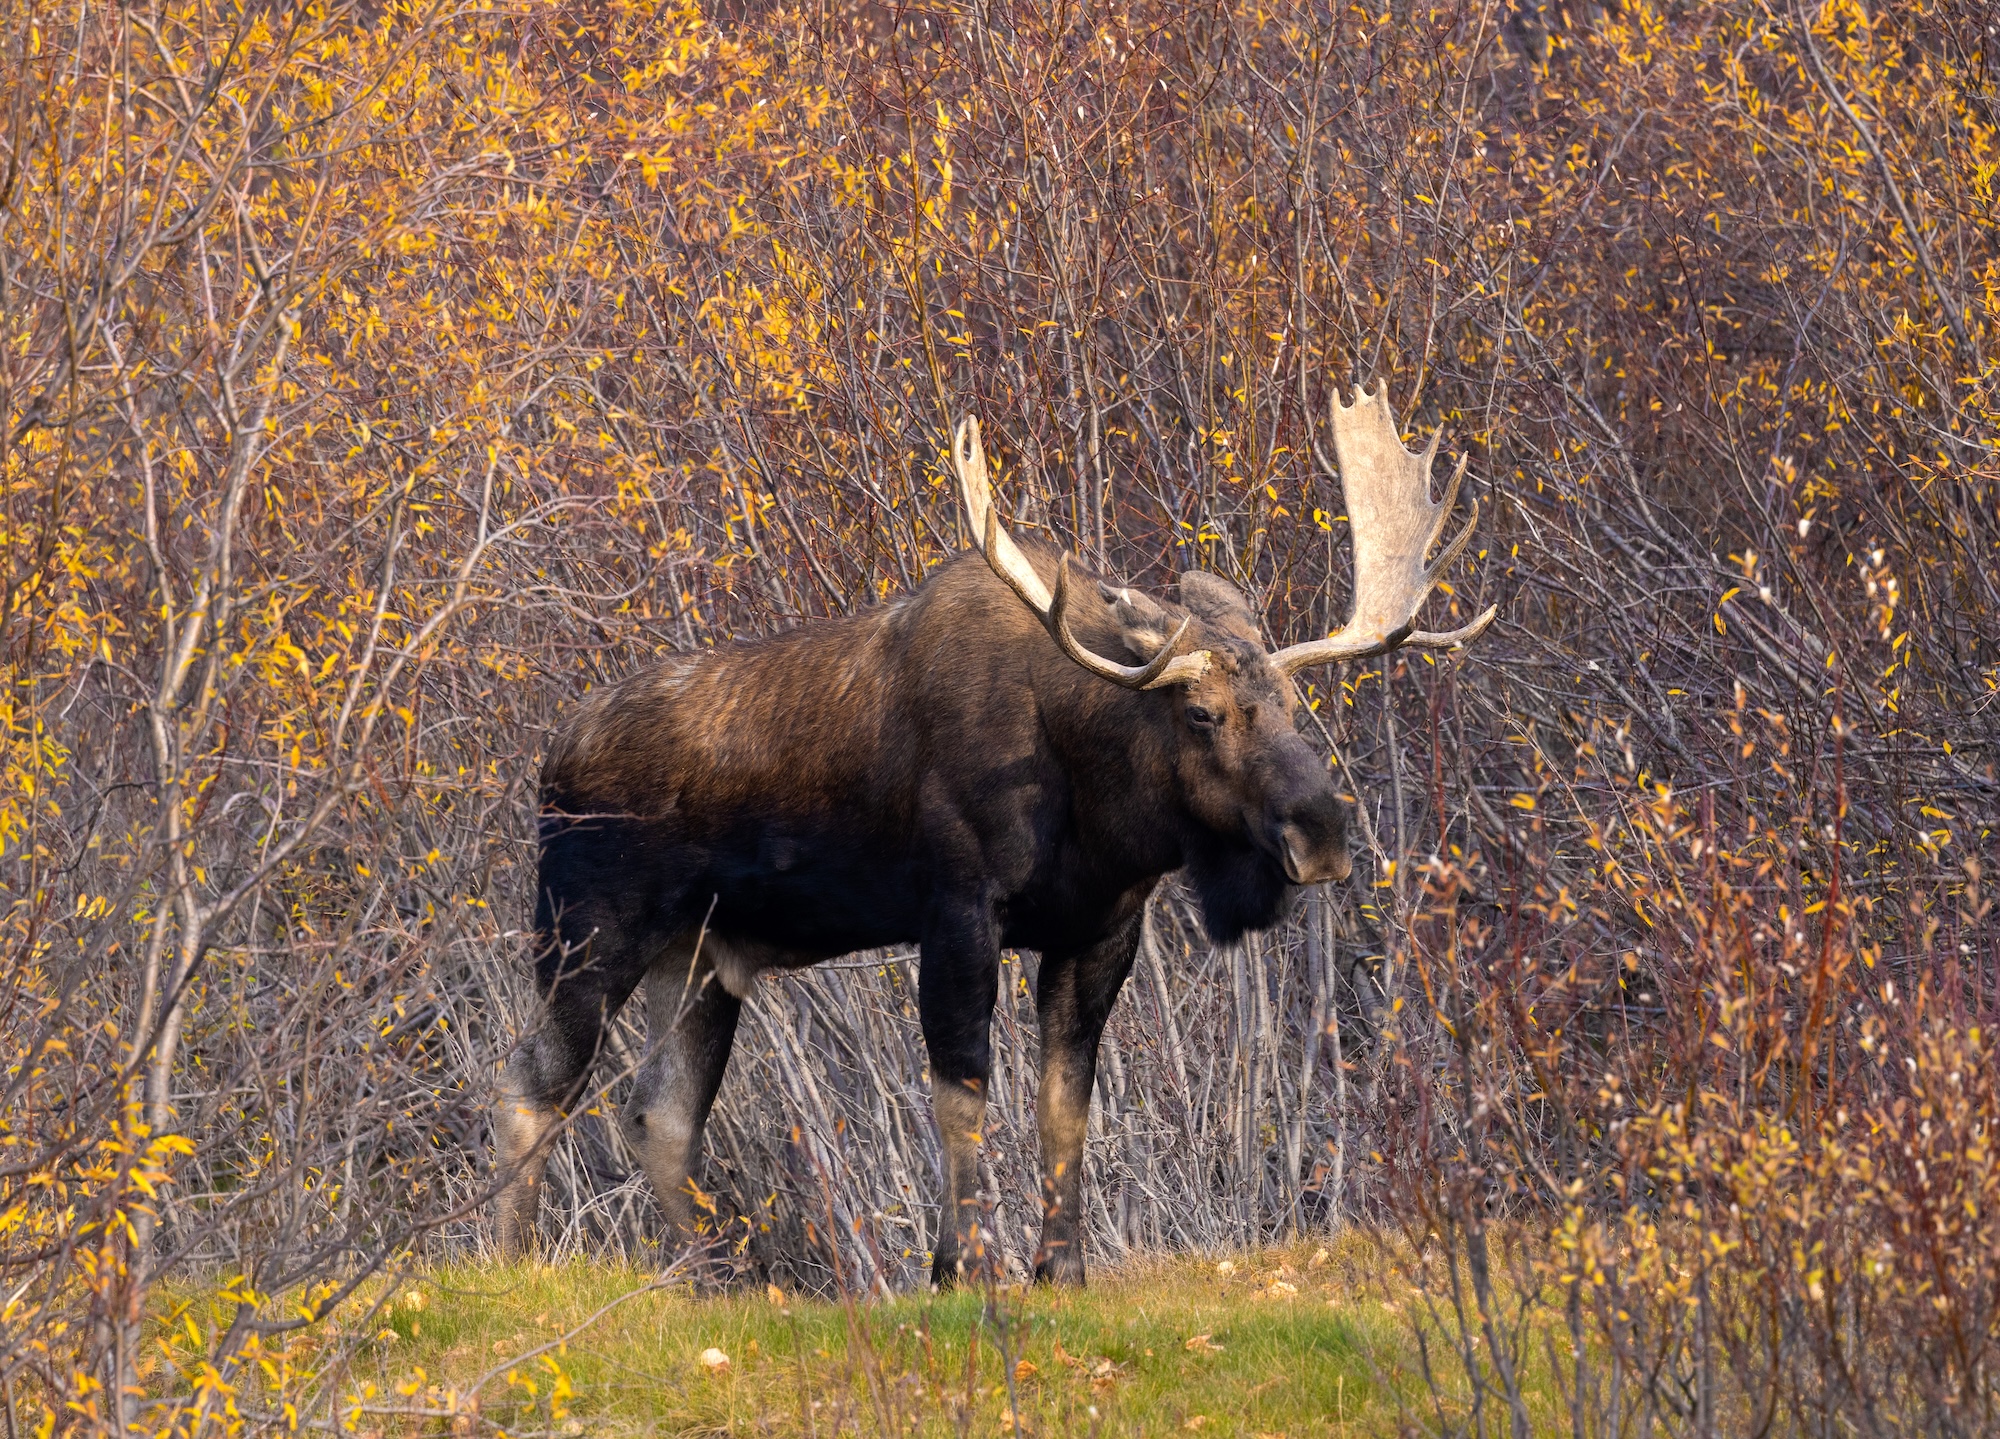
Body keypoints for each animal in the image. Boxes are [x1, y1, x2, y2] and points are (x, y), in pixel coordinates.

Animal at [493, 381, 1493, 1286]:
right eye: (1203, 713)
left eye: (1292, 703)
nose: (1321, 832)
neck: (1094, 799)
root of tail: (549, 761)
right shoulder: (959, 911)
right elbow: (962, 1093)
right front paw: (964, 1264)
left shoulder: (1100, 931)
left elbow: (1063, 1102)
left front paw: (1061, 1266)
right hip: (588, 932)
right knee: (535, 1081)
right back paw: (515, 1260)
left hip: (700, 957)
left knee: (659, 1116)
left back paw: (726, 1279)